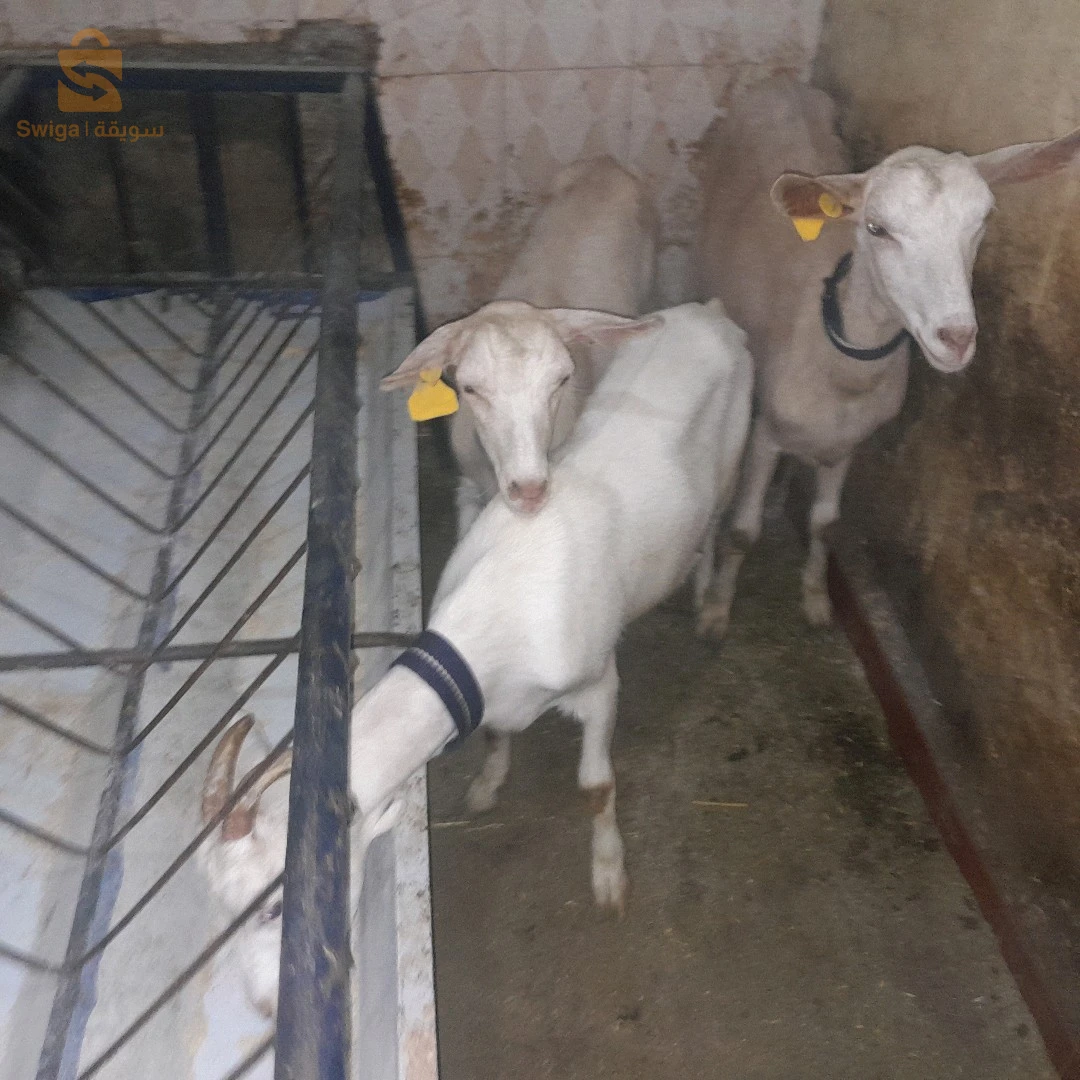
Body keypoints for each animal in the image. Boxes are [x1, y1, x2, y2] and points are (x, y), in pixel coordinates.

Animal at [199, 300, 753, 1016]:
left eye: (272, 910)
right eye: (220, 910)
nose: (268, 1008)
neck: (499, 615)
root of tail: (709, 313)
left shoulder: (598, 681)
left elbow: (596, 787)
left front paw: (609, 878)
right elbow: (495, 735)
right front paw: (488, 786)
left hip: (736, 456)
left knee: (715, 526)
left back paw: (706, 601)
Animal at [694, 75, 1080, 638]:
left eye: (984, 219)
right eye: (876, 228)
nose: (956, 337)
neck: (840, 368)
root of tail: (783, 86)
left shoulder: (852, 440)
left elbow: (826, 525)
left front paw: (817, 600)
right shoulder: (764, 430)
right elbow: (742, 532)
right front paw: (716, 612)